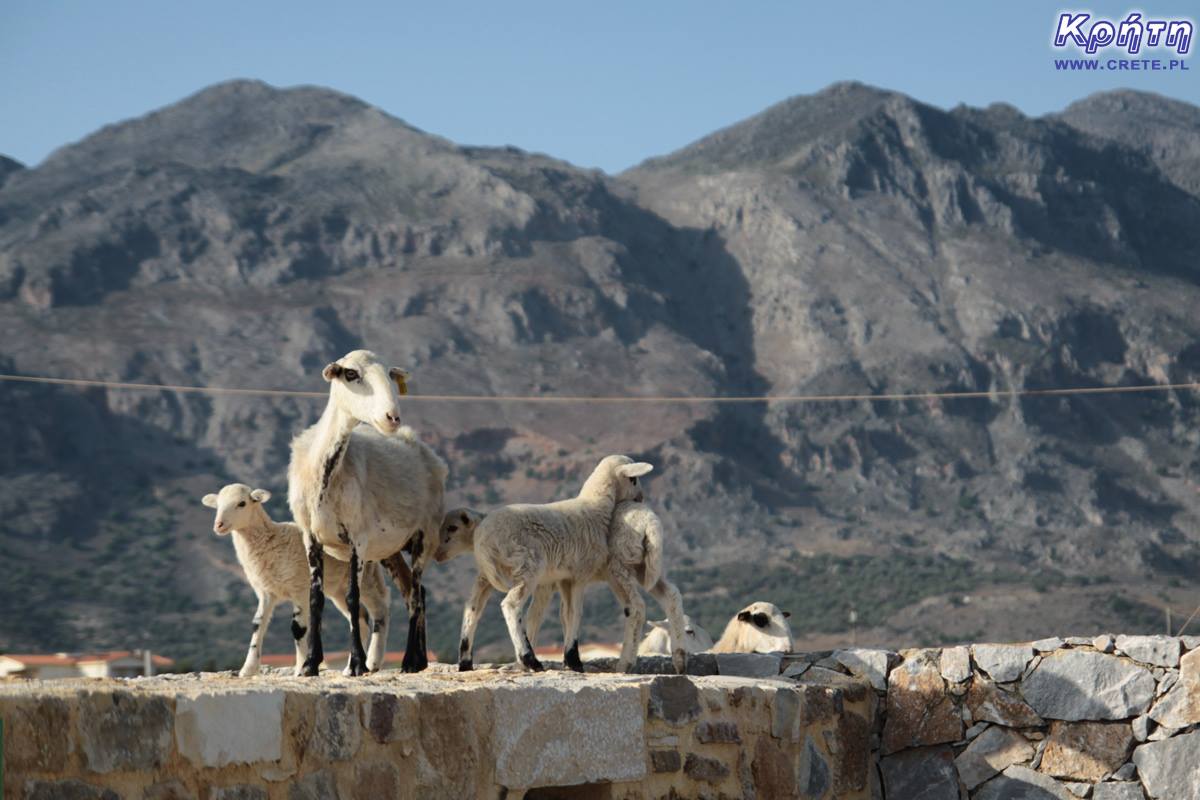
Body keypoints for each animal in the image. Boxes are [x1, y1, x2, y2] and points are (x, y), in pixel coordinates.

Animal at [200, 484, 388, 681]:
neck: (270, 539)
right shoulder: (266, 591)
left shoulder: (299, 588)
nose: (218, 525)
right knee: (360, 620)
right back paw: (351, 667)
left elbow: (298, 629)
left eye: (242, 503)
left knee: (380, 608)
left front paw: (301, 668)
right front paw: (247, 669)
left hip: (366, 576)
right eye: (217, 505)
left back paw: (373, 661)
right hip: (338, 589)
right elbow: (257, 625)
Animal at [288, 350, 448, 676]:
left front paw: (358, 663)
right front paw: (310, 664)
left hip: (425, 535)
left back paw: (410, 660)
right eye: (351, 374)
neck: (325, 471)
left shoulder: (358, 541)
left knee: (416, 594)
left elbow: (353, 598)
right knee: (416, 592)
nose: (392, 418)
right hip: (390, 549)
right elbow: (315, 598)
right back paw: (420, 661)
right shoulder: (310, 536)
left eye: (389, 376)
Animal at [439, 453, 652, 671]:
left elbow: (566, 614)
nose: (640, 498)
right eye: (633, 479)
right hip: (527, 565)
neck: (596, 508)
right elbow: (575, 613)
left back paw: (465, 662)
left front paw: (569, 660)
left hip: (486, 575)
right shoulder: (580, 573)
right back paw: (529, 659)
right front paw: (574, 660)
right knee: (511, 605)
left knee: (473, 609)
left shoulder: (564, 578)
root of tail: (482, 538)